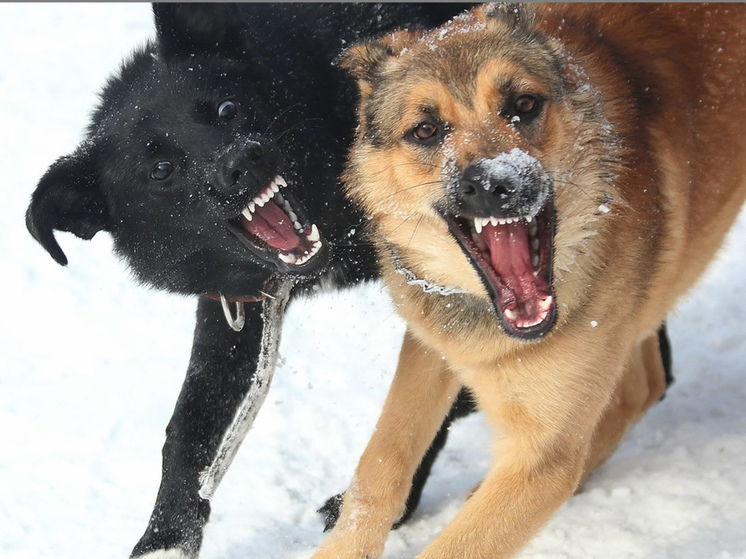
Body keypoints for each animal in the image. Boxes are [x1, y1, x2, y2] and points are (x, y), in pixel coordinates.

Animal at [27, 4, 476, 559]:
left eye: (226, 109)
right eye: (160, 168)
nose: (242, 161)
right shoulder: (235, 309)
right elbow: (188, 430)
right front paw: (165, 539)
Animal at [310, 4, 744, 559]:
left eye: (523, 104)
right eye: (426, 130)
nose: (497, 182)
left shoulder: (543, 454)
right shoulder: (432, 342)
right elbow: (379, 464)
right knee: (644, 385)